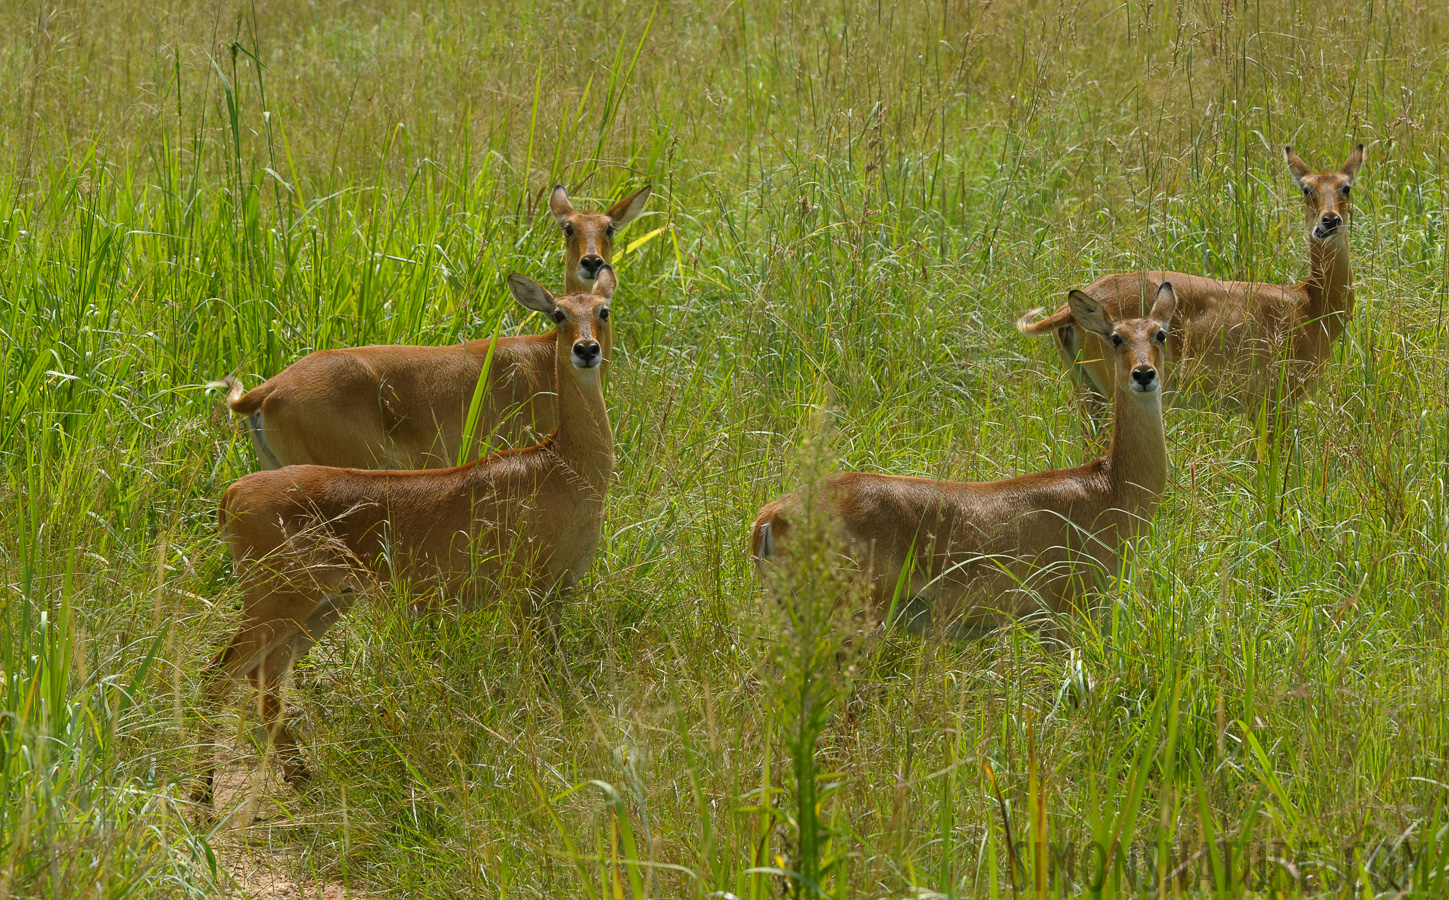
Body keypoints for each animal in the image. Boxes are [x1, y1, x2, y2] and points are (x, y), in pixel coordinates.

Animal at [194, 266, 617, 800]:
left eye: (602, 310)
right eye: (559, 313)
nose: (586, 349)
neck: (565, 466)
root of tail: (232, 492)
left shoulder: (555, 596)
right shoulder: (528, 595)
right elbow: (538, 677)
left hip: (320, 607)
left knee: (262, 679)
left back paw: (300, 777)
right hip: (274, 601)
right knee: (216, 676)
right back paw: (203, 798)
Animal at [747, 284, 1176, 628]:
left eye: (1160, 333)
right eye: (1116, 337)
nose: (1143, 374)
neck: (1110, 488)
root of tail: (769, 517)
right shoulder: (1069, 608)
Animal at [1014, 145, 1362, 414]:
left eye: (1346, 186)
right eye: (1307, 188)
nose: (1329, 221)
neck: (1310, 304)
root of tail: (1069, 309)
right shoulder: (1275, 402)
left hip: (1087, 394)